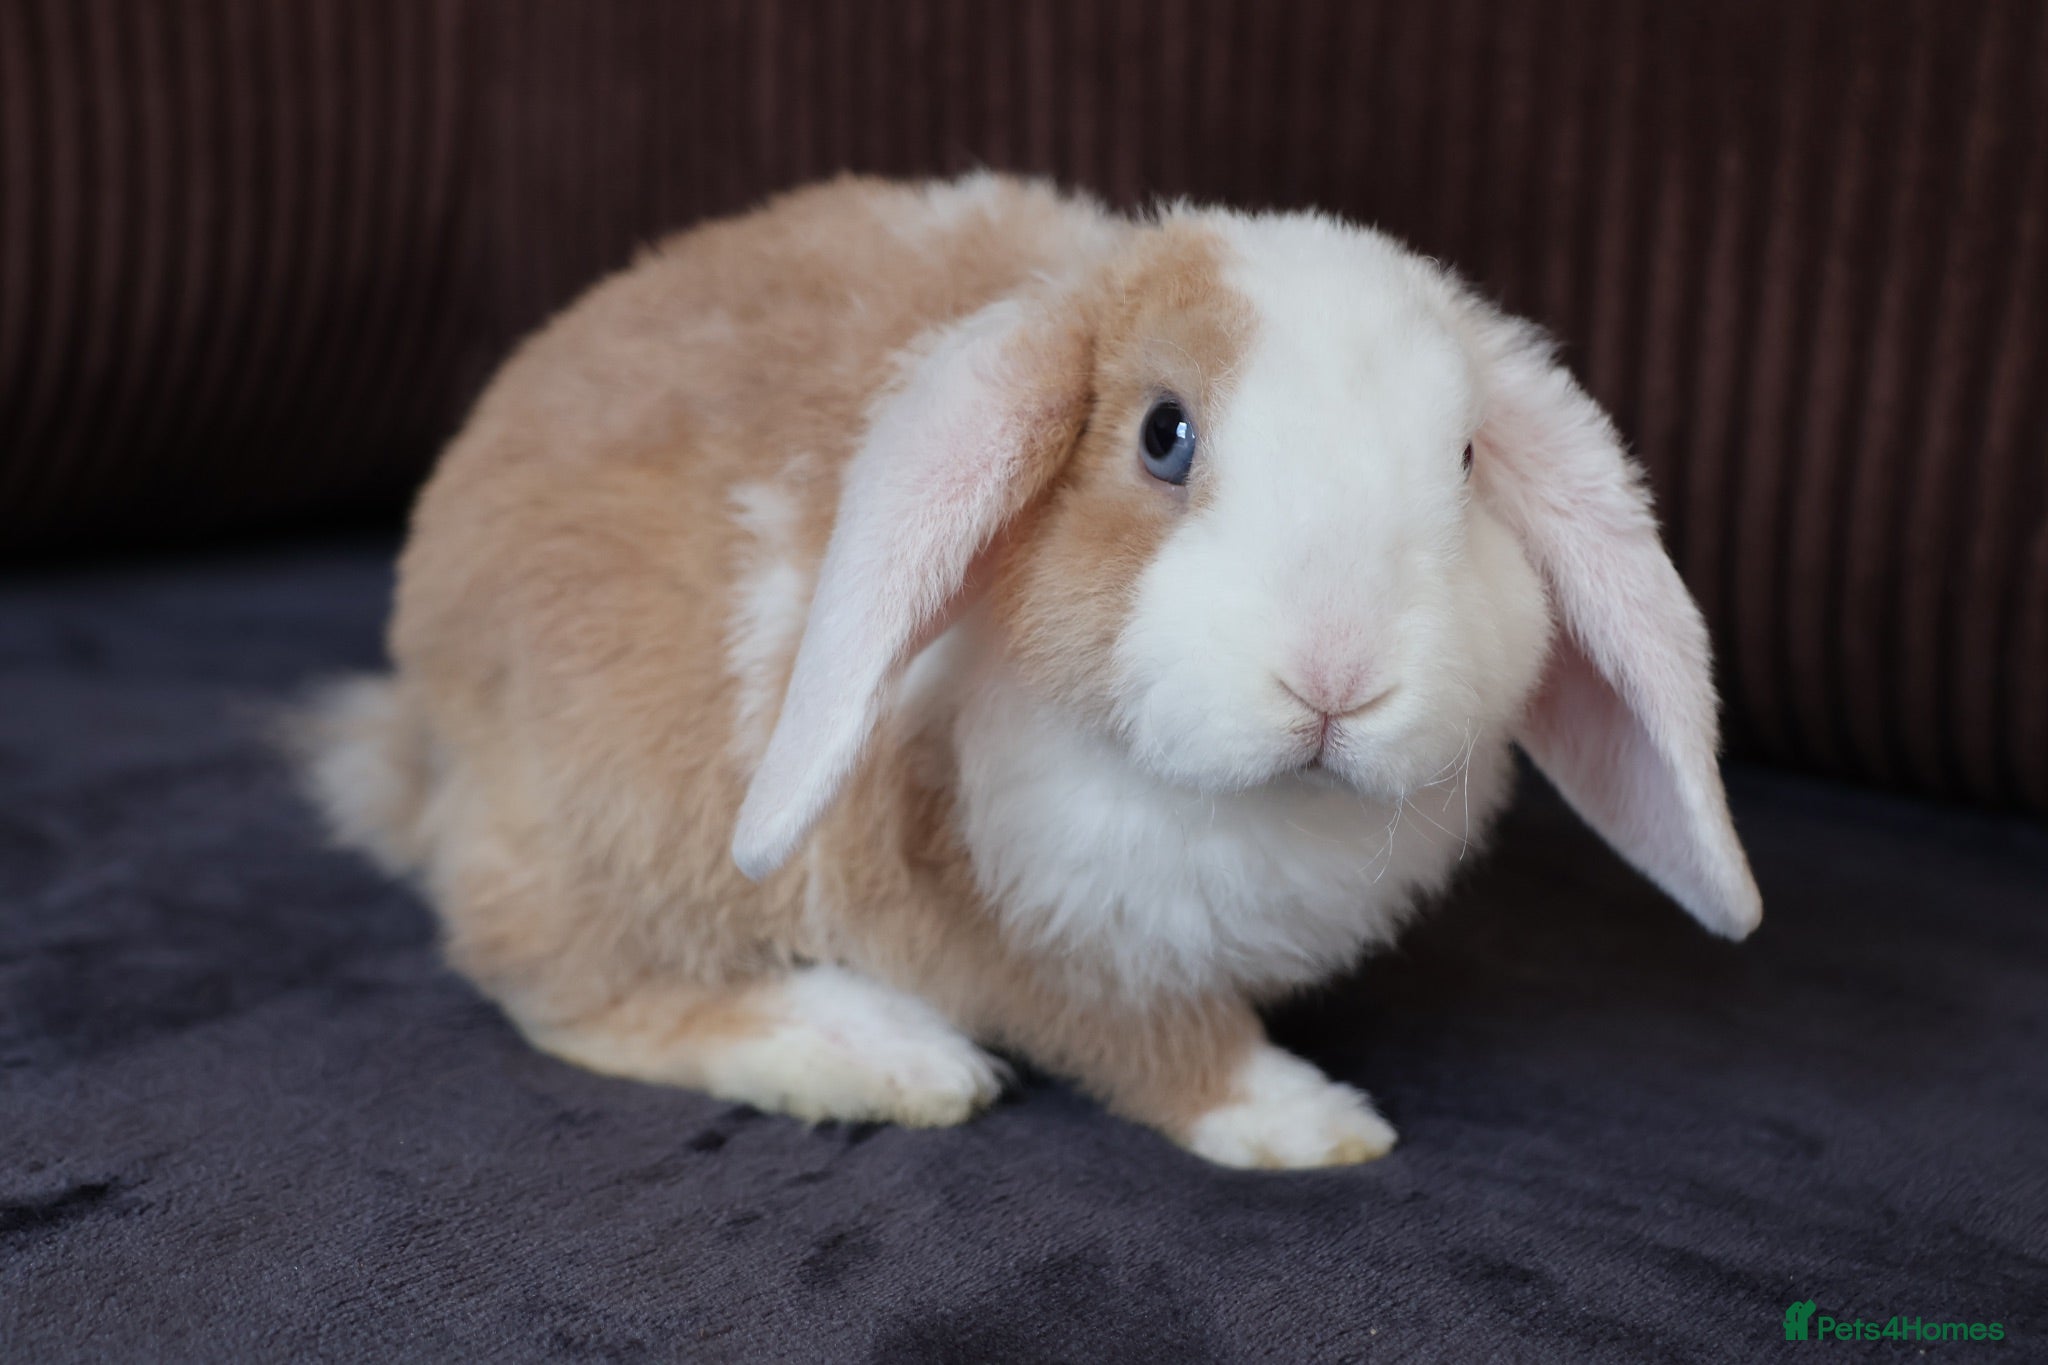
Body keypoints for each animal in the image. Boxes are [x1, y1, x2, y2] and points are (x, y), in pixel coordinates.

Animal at [297, 172, 1761, 1169]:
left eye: (1462, 461)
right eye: (1163, 436)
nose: (1333, 678)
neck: (1235, 804)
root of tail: (420, 732)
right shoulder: (1040, 929)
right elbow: (1153, 1039)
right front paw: (1303, 1122)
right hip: (616, 818)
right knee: (564, 987)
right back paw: (882, 1056)